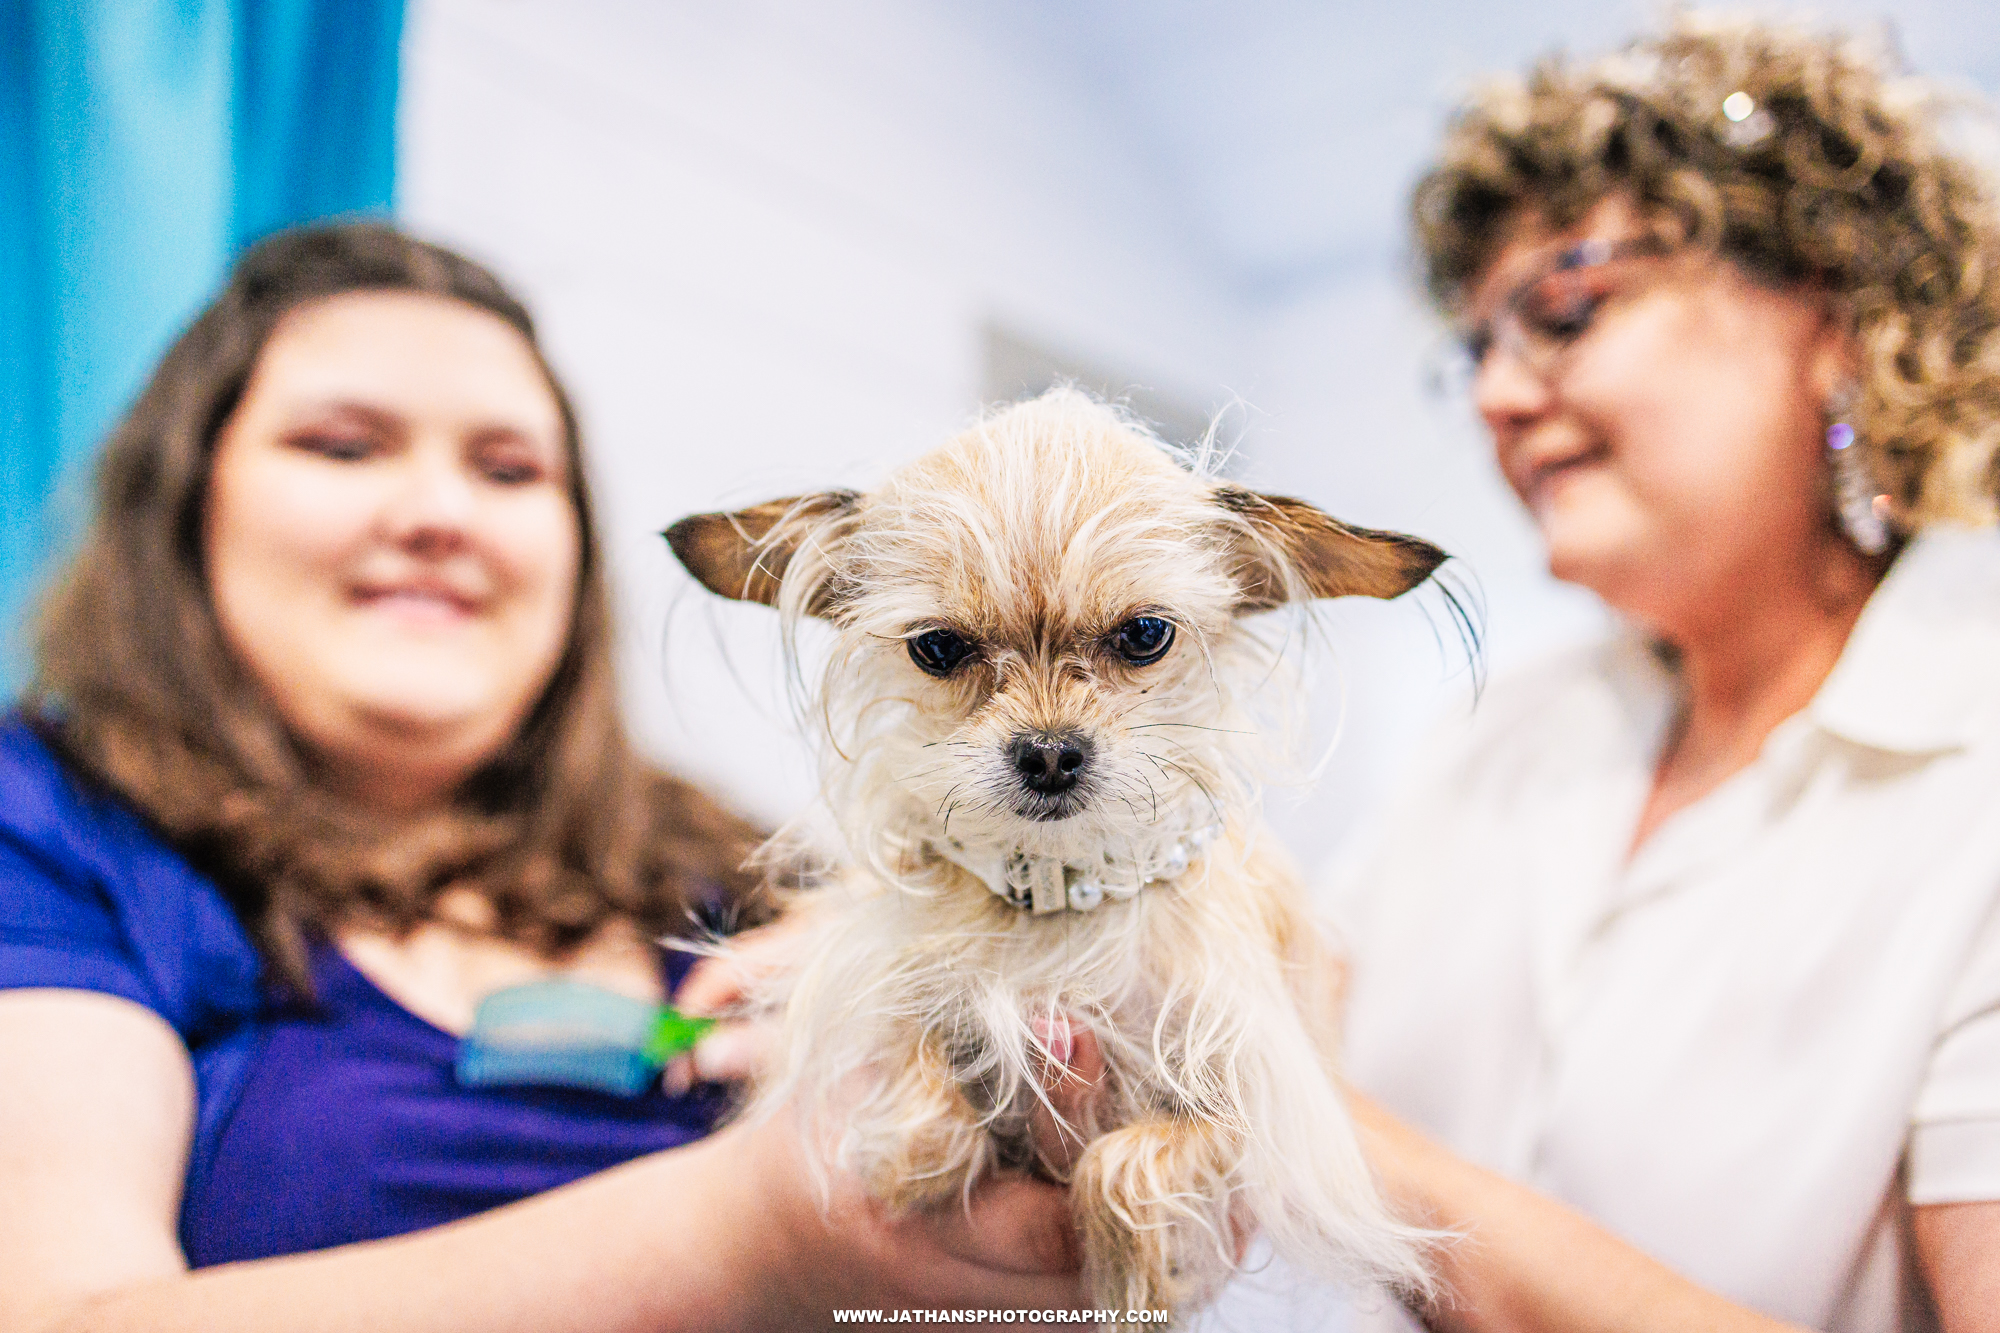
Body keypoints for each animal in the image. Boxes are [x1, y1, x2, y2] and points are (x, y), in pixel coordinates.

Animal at [668, 390, 1440, 1312]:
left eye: (1145, 634)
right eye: (938, 646)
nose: (1046, 752)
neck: (1068, 889)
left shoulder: (1269, 1112)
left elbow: (1123, 1162)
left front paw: (1141, 1283)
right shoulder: (897, 1000)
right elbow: (921, 1082)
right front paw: (908, 1158)